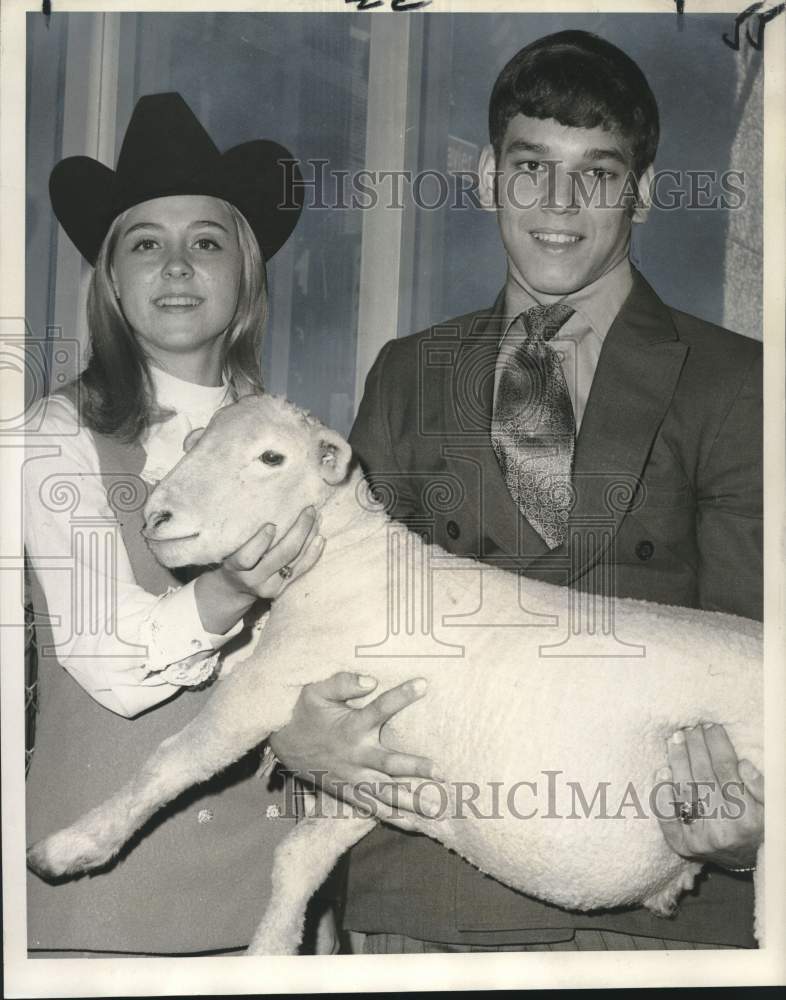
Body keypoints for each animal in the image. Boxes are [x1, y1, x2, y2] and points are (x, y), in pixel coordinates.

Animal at [27, 392, 764, 952]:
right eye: (195, 442)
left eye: (271, 457)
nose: (158, 515)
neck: (349, 561)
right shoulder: (375, 758)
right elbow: (299, 857)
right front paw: (271, 951)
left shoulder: (272, 683)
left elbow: (174, 760)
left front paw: (72, 846)